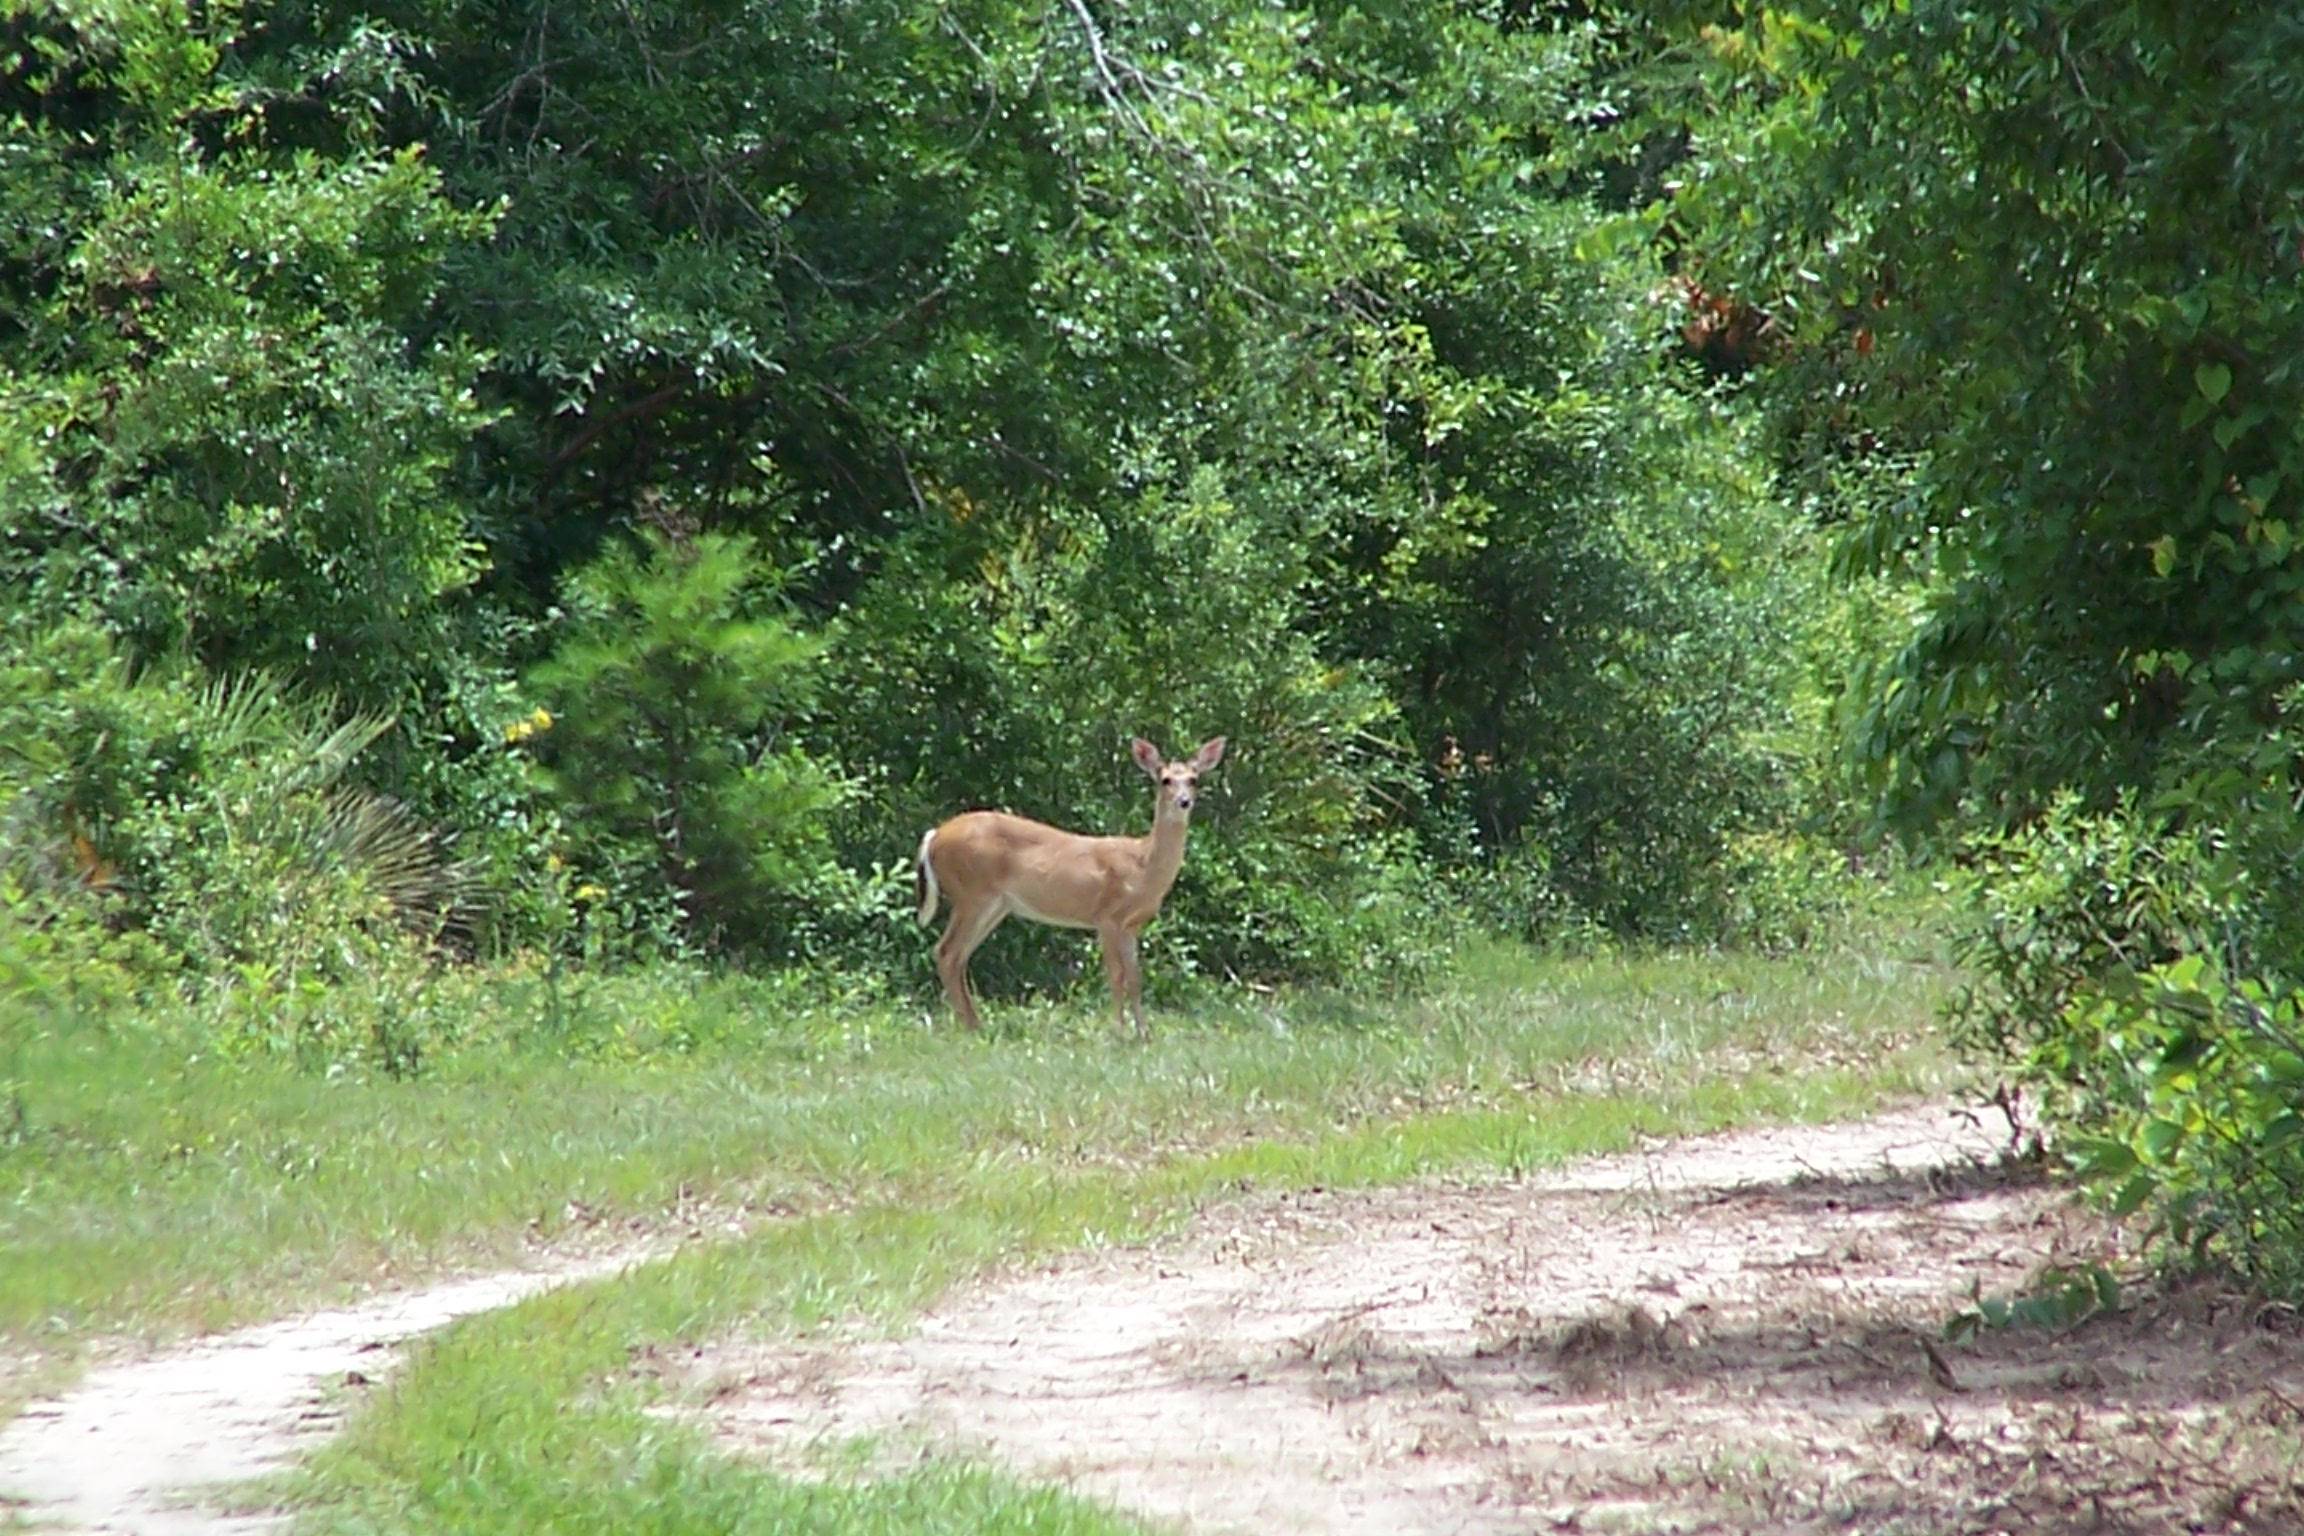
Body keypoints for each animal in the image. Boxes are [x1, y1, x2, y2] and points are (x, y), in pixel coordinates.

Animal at [916, 736, 1234, 1040]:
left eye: (1193, 779)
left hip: (994, 905)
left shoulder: (1131, 925)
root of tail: (935, 836)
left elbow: (1135, 978)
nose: (1184, 801)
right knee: (946, 951)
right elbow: (1116, 976)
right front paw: (1118, 1033)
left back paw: (975, 1024)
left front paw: (1144, 1034)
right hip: (972, 893)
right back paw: (970, 1027)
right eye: (1165, 779)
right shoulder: (1106, 916)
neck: (1142, 865)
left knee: (958, 956)